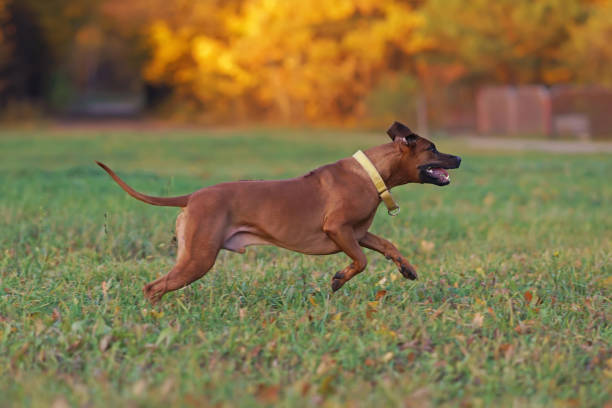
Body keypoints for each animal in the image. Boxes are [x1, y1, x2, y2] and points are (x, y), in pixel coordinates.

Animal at [97, 122, 460, 302]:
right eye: (432, 148)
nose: (458, 158)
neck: (371, 173)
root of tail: (194, 197)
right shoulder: (338, 230)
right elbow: (361, 261)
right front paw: (339, 279)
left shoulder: (357, 232)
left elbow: (387, 245)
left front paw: (406, 268)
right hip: (199, 258)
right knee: (152, 287)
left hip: (192, 256)